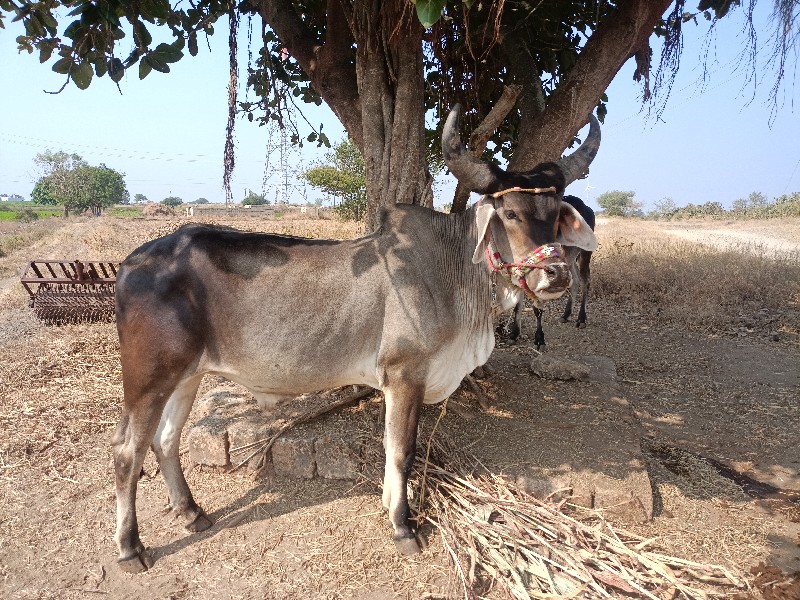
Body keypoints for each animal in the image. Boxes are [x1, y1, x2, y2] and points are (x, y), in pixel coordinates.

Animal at [112, 104, 600, 572]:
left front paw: (390, 506)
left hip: (187, 375)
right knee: (126, 453)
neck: (453, 269)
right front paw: (403, 526)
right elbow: (402, 452)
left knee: (165, 440)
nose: (556, 275)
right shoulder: (405, 376)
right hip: (148, 379)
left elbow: (390, 450)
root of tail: (131, 262)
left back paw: (191, 512)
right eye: (511, 213)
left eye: (557, 216)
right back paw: (131, 549)